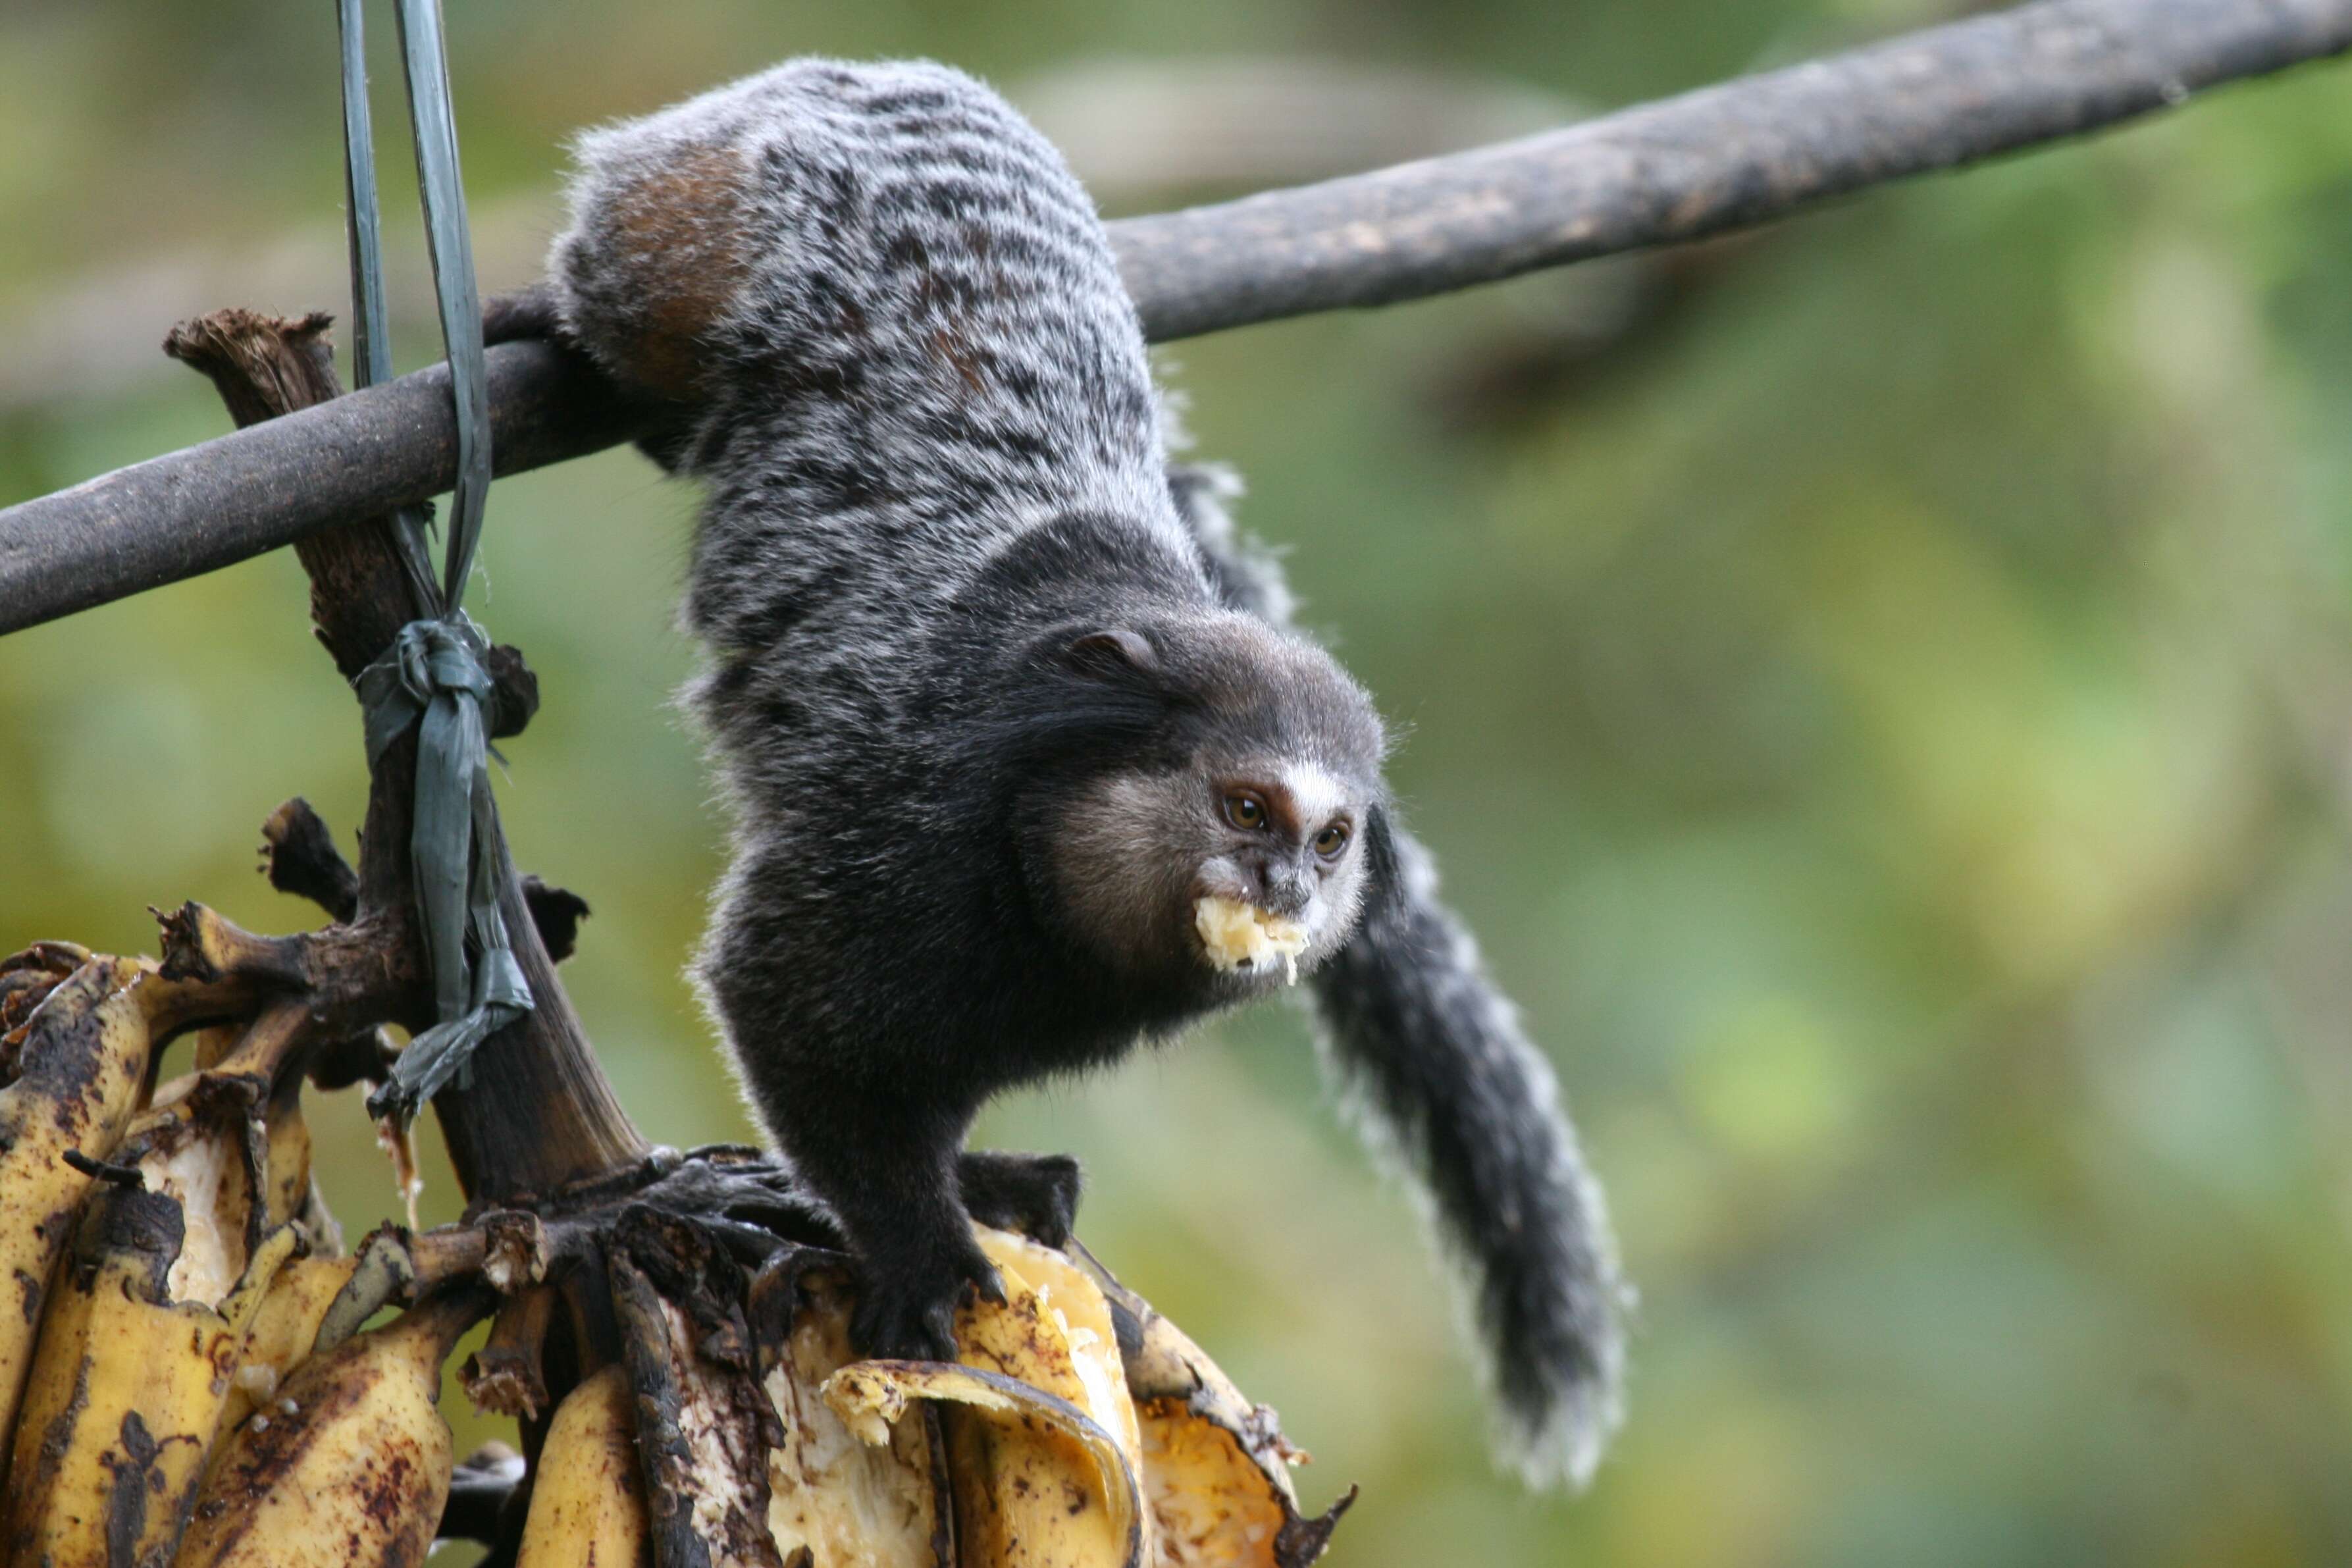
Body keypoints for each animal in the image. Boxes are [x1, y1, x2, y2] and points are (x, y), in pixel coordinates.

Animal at [512, 58, 1618, 1486]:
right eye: (1246, 808)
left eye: (1327, 841)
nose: (1282, 884)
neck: (1035, 838)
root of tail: (876, 75)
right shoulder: (895, 833)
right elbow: (780, 1004)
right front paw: (922, 1243)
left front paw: (973, 1180)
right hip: (706, 203)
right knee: (632, 297)